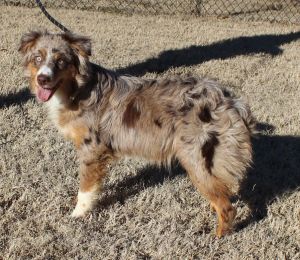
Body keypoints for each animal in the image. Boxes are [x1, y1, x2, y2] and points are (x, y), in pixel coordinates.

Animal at [18, 31, 255, 238]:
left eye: (61, 61)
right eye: (38, 58)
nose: (42, 79)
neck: (79, 89)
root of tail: (227, 99)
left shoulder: (91, 149)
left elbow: (85, 187)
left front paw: (78, 214)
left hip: (194, 159)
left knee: (226, 207)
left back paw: (218, 237)